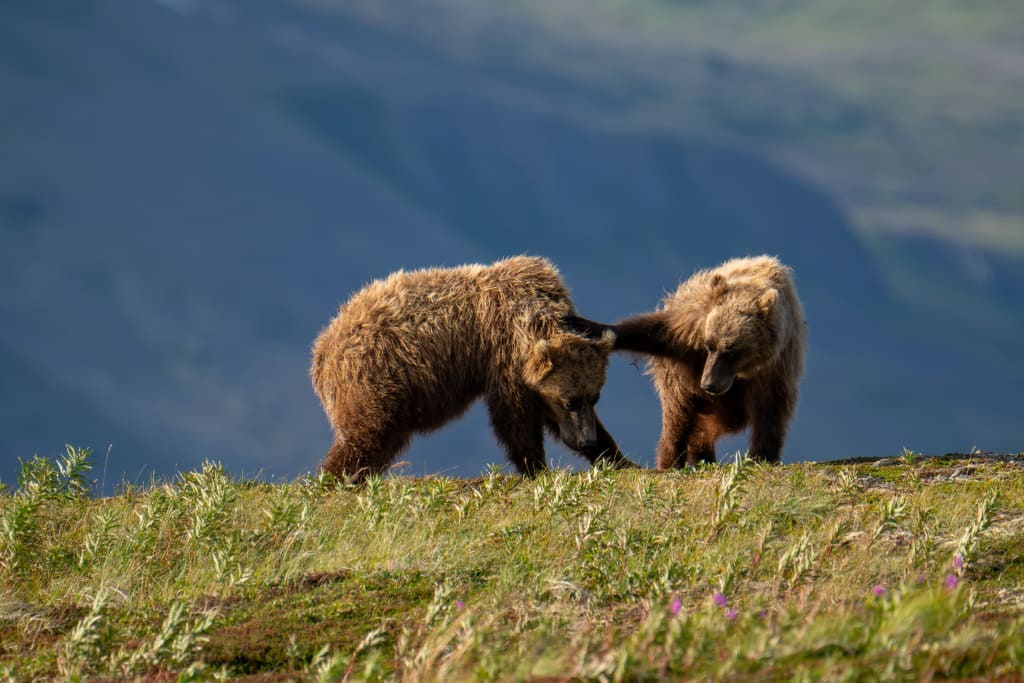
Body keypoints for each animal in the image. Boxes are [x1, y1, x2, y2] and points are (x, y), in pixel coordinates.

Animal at [310, 255, 635, 480]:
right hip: (373, 376)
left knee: (384, 440)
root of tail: (324, 345)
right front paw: (537, 467)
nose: (586, 439)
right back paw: (332, 478)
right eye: (569, 401)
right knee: (364, 434)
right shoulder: (504, 358)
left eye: (594, 396)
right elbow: (514, 420)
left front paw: (619, 458)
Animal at [606, 255, 805, 467]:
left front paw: (763, 455)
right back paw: (672, 459)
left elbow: (771, 409)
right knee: (679, 414)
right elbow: (658, 331)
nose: (709, 384)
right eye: (709, 345)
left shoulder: (777, 364)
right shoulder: (693, 327)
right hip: (681, 381)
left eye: (732, 351)